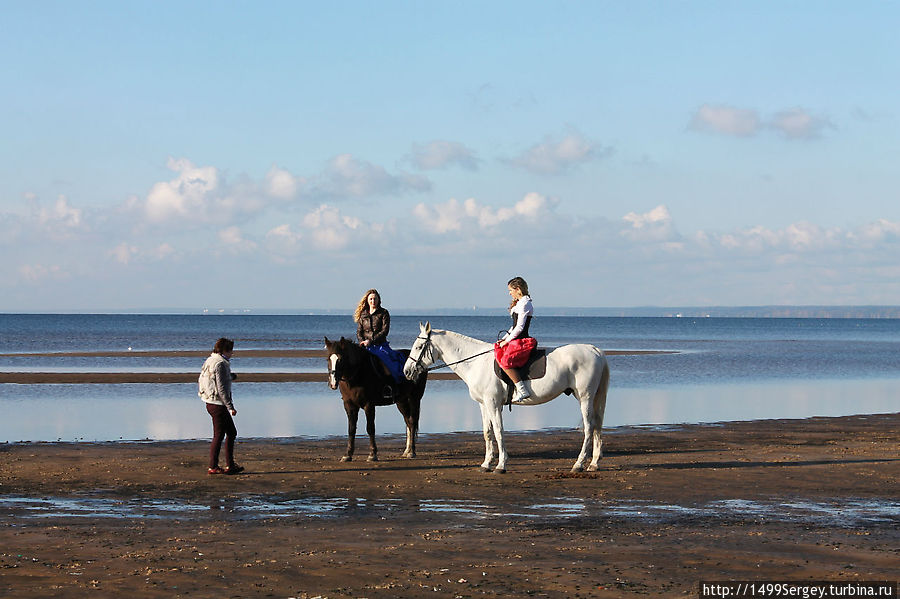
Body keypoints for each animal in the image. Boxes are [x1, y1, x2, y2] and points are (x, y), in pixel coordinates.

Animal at [402, 324, 608, 474]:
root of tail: (595, 350)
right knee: (597, 425)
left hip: (585, 397)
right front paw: (486, 464)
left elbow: (499, 431)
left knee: (589, 427)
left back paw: (579, 464)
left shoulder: (493, 404)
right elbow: (487, 433)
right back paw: (594, 463)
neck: (475, 362)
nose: (407, 372)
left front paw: (501, 465)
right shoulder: (484, 405)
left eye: (418, 347)